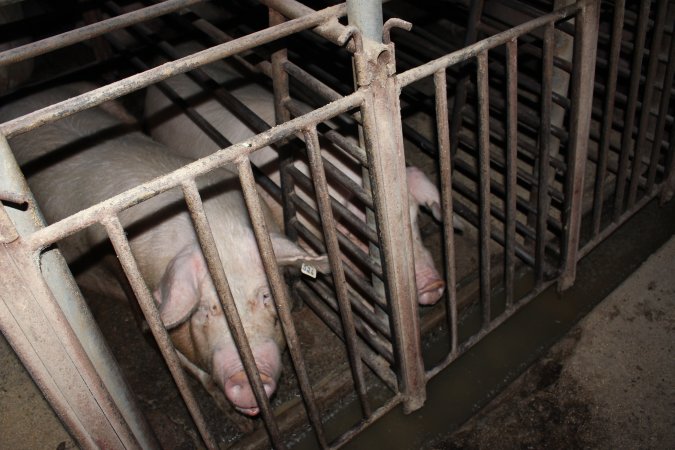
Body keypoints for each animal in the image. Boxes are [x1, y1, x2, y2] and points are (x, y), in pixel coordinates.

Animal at [1, 83, 330, 414]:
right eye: (204, 310)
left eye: (265, 295)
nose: (248, 379)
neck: (216, 231)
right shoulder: (128, 279)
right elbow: (159, 338)